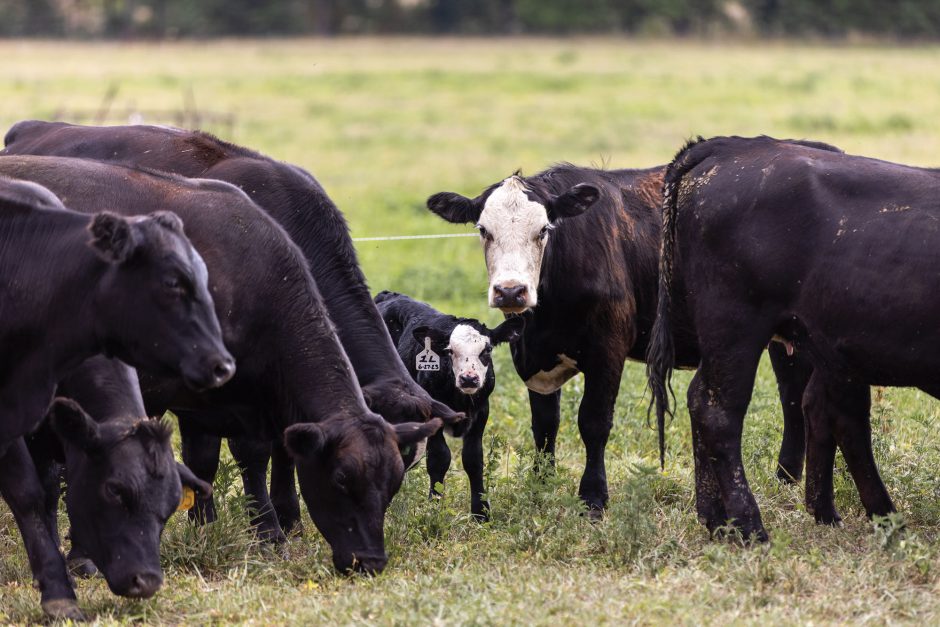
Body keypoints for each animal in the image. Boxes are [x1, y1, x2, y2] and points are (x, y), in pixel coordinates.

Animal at [0, 177, 233, 620]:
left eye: (169, 509)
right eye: (115, 490)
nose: (148, 581)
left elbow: (49, 490)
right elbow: (27, 494)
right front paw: (59, 592)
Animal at [374, 290, 524, 520]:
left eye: (487, 349)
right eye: (450, 350)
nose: (469, 378)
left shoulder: (481, 412)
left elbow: (473, 459)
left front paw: (481, 513)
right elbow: (439, 458)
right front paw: (434, 507)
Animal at [426, 164, 816, 516]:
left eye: (544, 229)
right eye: (483, 230)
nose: (510, 291)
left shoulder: (607, 351)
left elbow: (594, 422)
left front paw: (593, 497)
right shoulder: (535, 358)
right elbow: (544, 425)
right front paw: (541, 483)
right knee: (792, 394)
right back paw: (786, 476)